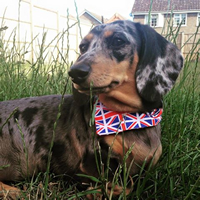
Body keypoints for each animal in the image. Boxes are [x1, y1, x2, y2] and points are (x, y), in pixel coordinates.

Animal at [0, 20, 183, 198]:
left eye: (118, 40)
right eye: (83, 46)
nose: (75, 72)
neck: (130, 117)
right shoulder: (92, 160)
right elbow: (124, 184)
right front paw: (94, 192)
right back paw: (13, 192)